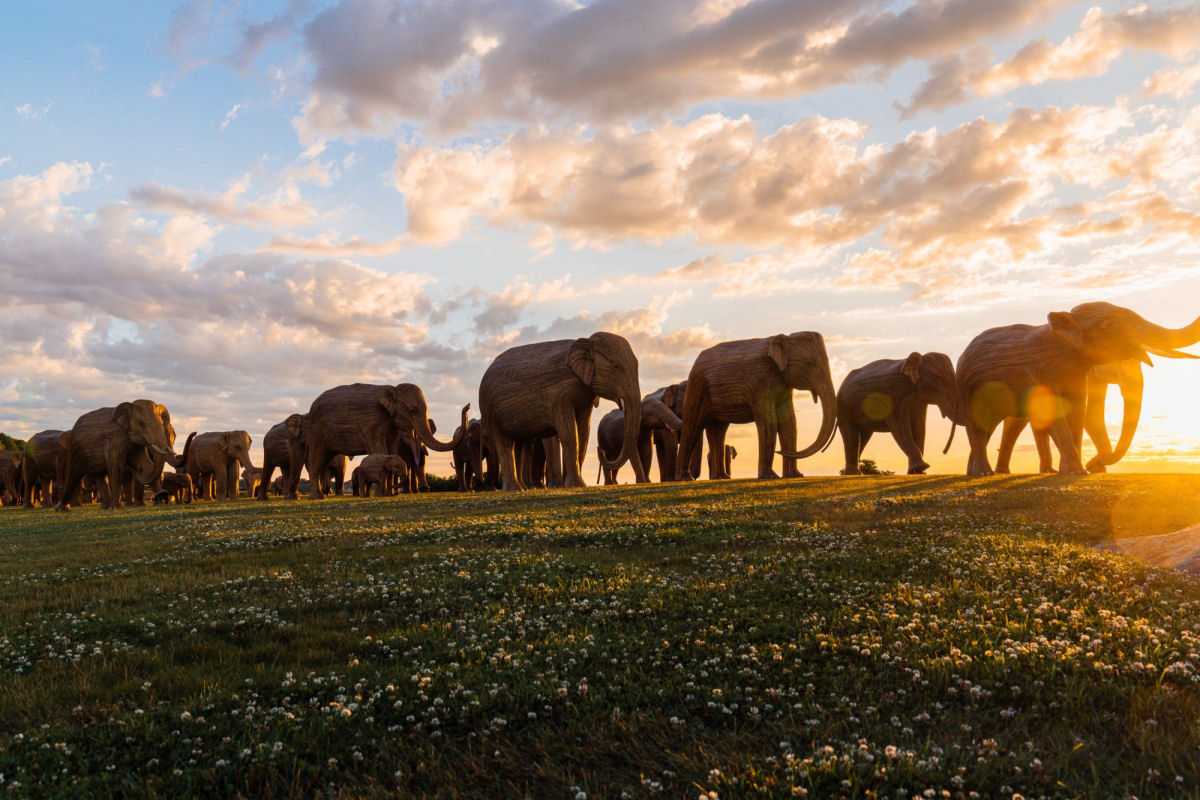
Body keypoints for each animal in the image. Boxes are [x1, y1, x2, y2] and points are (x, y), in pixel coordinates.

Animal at [302, 383, 465, 501]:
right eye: (411, 410)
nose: (467, 406)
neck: (392, 390)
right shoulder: (371, 422)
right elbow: (380, 450)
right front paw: (385, 494)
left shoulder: (391, 427)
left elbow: (391, 451)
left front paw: (391, 494)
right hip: (316, 431)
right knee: (317, 460)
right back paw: (318, 498)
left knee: (323, 461)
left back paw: (321, 495)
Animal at [480, 331, 652, 491]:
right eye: (615, 367)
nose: (601, 450)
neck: (586, 342)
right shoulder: (560, 394)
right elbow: (569, 433)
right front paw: (576, 485)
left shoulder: (585, 395)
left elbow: (583, 432)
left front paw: (578, 485)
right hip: (490, 410)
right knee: (505, 443)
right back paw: (514, 489)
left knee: (519, 445)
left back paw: (523, 488)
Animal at [681, 333, 840, 482]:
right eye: (809, 363)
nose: (780, 451)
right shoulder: (761, 382)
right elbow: (769, 421)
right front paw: (770, 477)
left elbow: (789, 423)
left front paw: (796, 476)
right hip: (697, 385)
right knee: (692, 426)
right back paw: (686, 478)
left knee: (717, 431)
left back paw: (721, 477)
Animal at [955, 299, 1200, 474]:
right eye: (1109, 325)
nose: (1095, 463)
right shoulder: (1041, 372)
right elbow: (1058, 412)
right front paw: (1078, 471)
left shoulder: (1077, 375)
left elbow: (1077, 410)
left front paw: (1076, 471)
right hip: (968, 387)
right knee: (978, 426)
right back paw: (985, 474)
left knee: (988, 428)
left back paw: (978, 473)